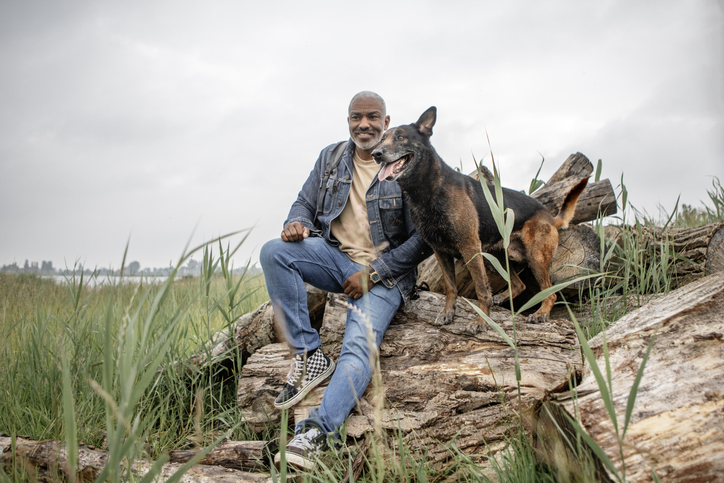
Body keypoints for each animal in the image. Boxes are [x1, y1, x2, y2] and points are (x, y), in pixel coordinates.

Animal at [374, 107, 588, 330]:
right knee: (519, 284)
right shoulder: (440, 251)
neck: (427, 191)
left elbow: (481, 290)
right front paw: (448, 312)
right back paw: (503, 298)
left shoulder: (470, 248)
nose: (375, 154)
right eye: (382, 139)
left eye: (400, 137)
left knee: (550, 292)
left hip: (534, 258)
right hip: (498, 259)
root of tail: (549, 216)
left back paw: (541, 313)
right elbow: (451, 287)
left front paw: (482, 320)